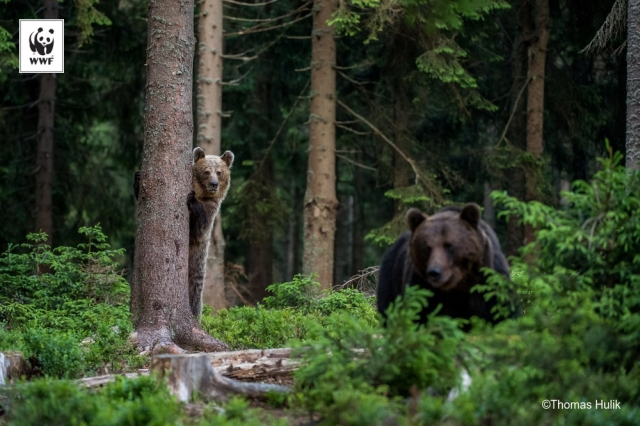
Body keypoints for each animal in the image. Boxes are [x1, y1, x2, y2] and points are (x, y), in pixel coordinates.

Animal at [378, 203, 512, 326]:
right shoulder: (422, 288)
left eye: (449, 246)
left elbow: (500, 314)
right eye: (427, 248)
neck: (457, 286)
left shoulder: (487, 284)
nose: (434, 272)